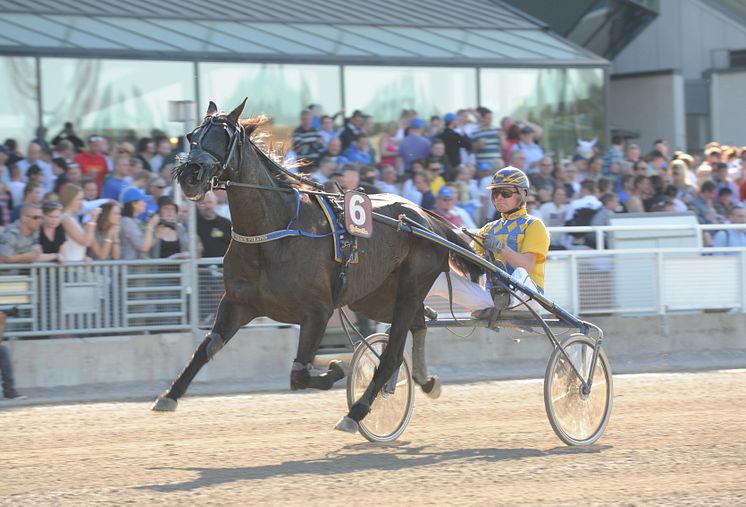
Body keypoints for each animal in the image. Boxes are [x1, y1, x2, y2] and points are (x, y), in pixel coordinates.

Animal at [153, 100, 480, 436]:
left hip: (411, 286)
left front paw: (334, 369)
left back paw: (357, 412)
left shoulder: (318, 310)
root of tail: (425, 218)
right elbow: (206, 348)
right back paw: (425, 381)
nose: (190, 174)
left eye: (224, 137)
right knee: (417, 323)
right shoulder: (237, 303)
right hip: (374, 296)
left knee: (392, 353)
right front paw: (169, 395)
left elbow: (298, 373)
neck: (274, 232)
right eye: (192, 136)